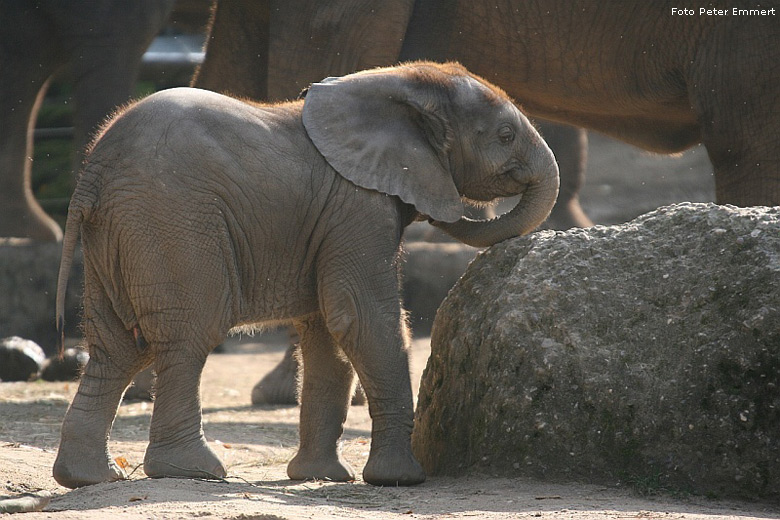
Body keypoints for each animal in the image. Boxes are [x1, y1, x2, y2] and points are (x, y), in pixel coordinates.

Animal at [51, 61, 556, 488]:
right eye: (506, 135)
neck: (401, 81)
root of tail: (91, 176)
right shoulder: (356, 207)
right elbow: (363, 319)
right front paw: (400, 479)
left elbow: (327, 335)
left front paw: (323, 477)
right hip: (171, 223)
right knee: (187, 337)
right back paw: (194, 471)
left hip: (115, 236)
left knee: (116, 349)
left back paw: (90, 477)